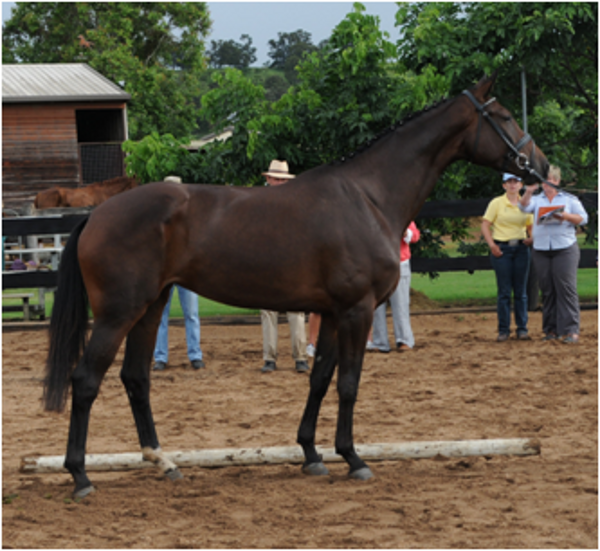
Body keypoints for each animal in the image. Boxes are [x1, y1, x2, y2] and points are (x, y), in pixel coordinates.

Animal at [42, 74, 548, 500]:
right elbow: (348, 383)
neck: (368, 197)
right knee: (85, 380)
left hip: (150, 307)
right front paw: (353, 458)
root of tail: (97, 214)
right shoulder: (357, 310)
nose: (540, 166)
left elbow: (320, 378)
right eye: (505, 116)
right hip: (118, 313)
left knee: (135, 377)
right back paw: (81, 476)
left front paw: (311, 454)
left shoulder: (332, 312)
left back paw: (163, 461)